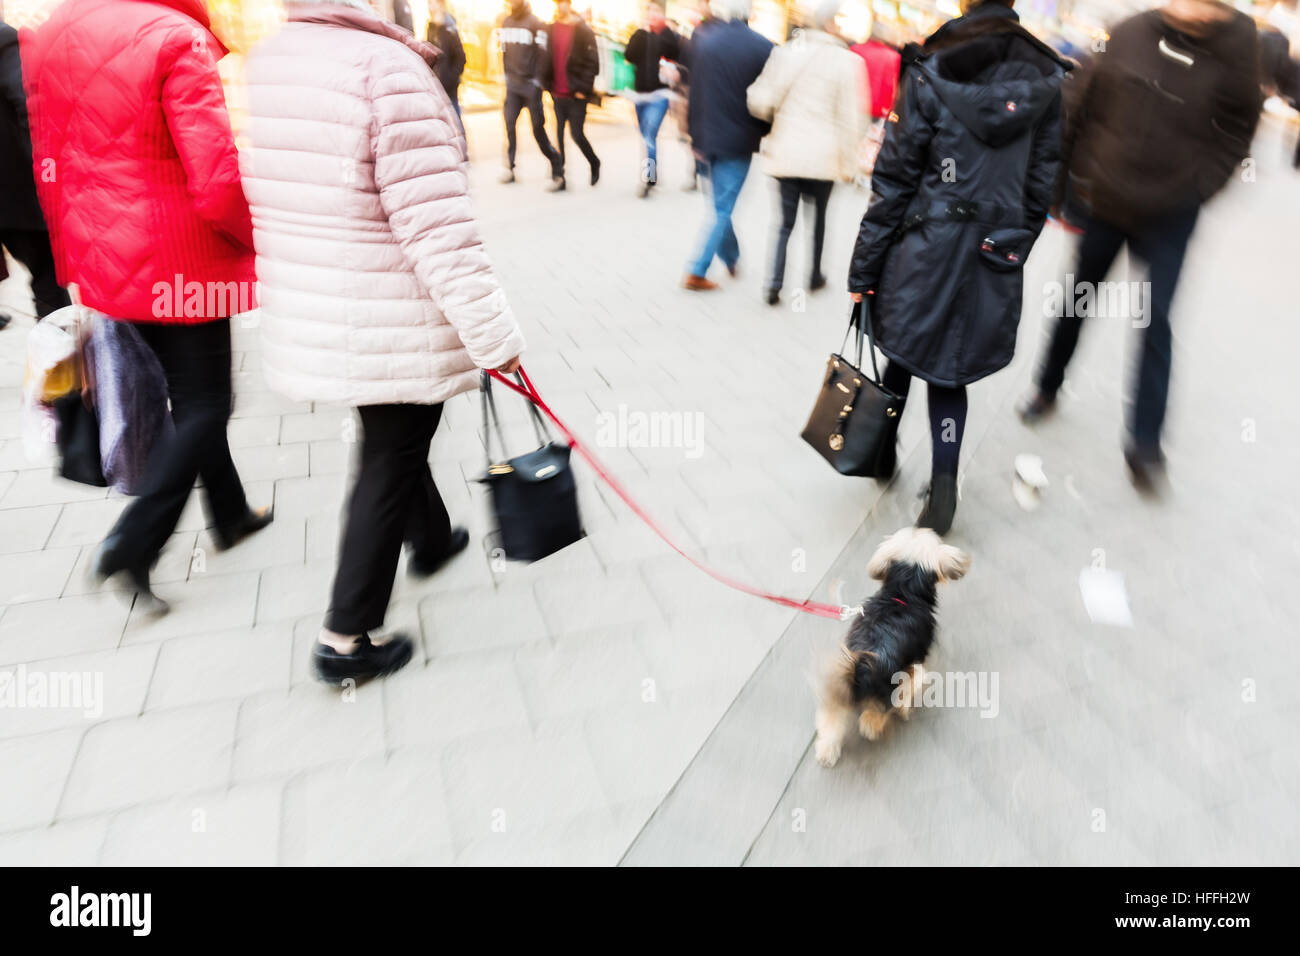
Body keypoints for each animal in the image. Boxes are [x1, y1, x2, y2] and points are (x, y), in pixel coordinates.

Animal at [816, 528, 972, 764]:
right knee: (870, 722)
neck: (902, 594)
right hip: (881, 696)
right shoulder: (914, 665)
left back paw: (827, 752)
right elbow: (910, 685)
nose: (924, 527)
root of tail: (861, 669)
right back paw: (874, 728)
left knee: (831, 721)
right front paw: (906, 707)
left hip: (836, 690)